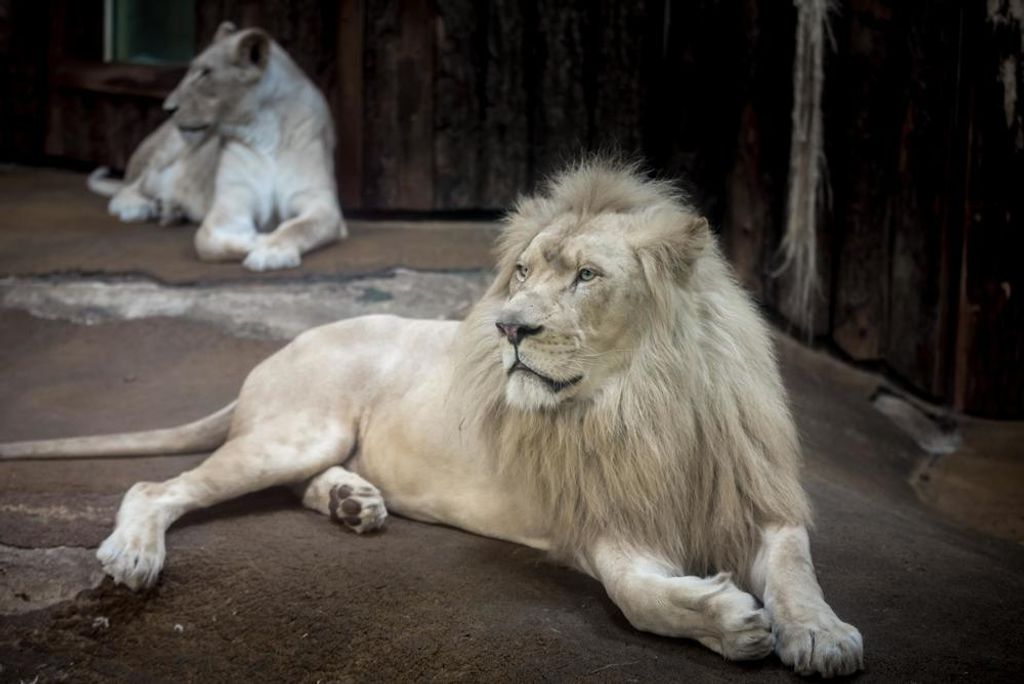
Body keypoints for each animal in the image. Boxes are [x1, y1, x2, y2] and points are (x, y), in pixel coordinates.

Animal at [0, 161, 863, 677]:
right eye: (522, 271)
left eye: (586, 276)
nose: (507, 327)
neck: (644, 402)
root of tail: (283, 346)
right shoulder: (600, 523)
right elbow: (640, 597)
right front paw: (730, 621)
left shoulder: (755, 499)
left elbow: (797, 565)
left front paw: (821, 634)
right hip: (295, 431)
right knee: (156, 488)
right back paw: (136, 552)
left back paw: (354, 502)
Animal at [87, 22, 345, 271]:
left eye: (205, 73)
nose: (168, 108)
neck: (264, 131)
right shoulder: (230, 203)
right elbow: (206, 241)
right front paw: (257, 241)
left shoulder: (319, 202)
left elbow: (298, 228)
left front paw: (271, 251)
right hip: (166, 152)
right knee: (128, 187)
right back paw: (139, 208)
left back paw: (170, 209)